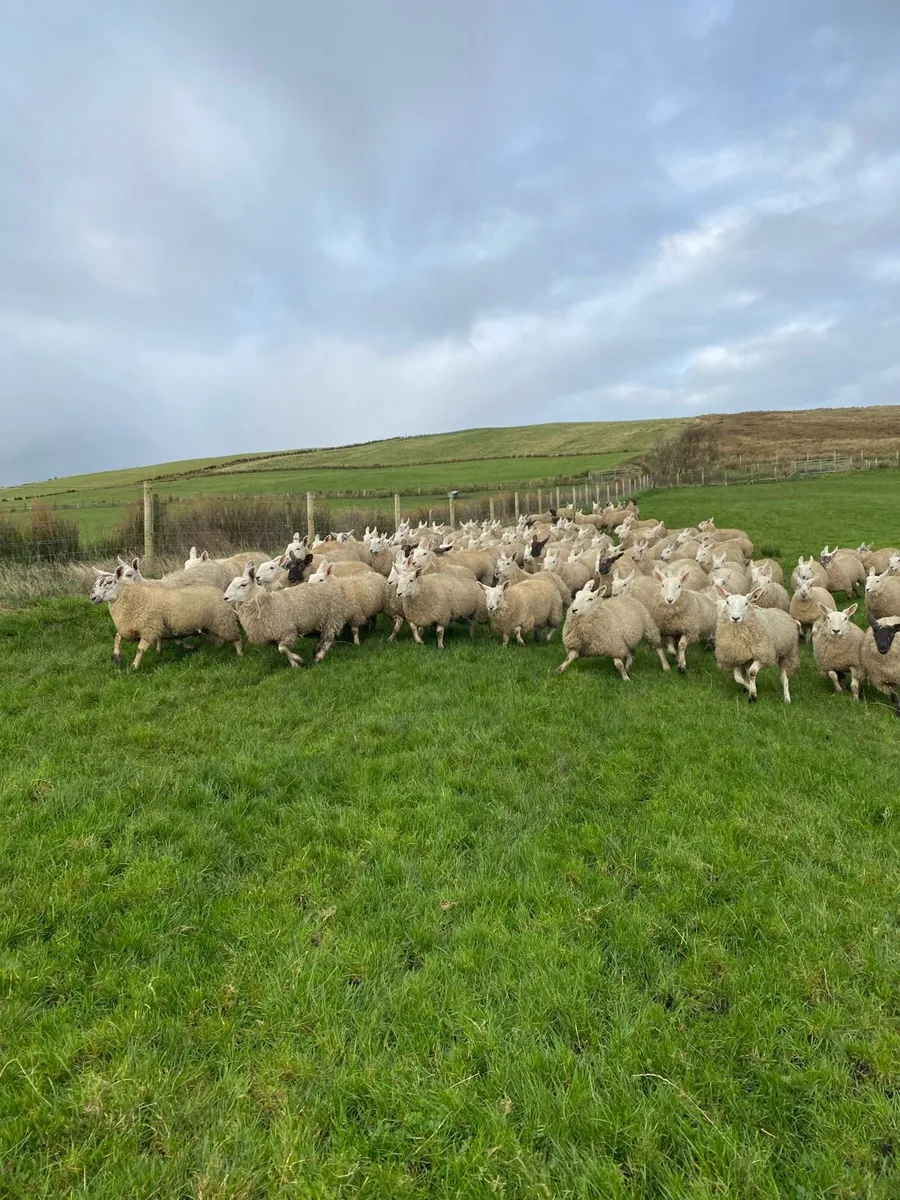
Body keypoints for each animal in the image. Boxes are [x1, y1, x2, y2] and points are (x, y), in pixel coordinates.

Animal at [90, 566, 242, 669]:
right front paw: (117, 657)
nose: (93, 598)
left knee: (236, 638)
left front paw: (134, 666)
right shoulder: (129, 628)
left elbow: (140, 649)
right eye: (96, 583)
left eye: (109, 582)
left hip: (223, 621)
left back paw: (240, 654)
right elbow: (117, 637)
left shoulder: (149, 628)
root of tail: (221, 593)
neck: (134, 598)